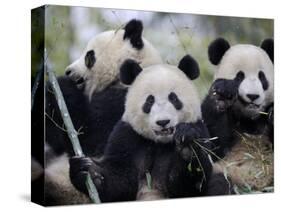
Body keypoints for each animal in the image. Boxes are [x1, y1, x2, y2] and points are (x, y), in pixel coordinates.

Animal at [69, 54, 231, 202]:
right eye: (149, 101)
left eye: (174, 98)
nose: (163, 122)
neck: (160, 143)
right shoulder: (127, 135)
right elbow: (119, 182)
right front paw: (87, 170)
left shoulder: (200, 129)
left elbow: (189, 186)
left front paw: (187, 148)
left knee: (219, 184)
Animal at [201, 37, 274, 192]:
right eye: (239, 77)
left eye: (262, 77)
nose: (252, 96)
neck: (249, 118)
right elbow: (211, 147)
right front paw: (222, 94)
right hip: (228, 174)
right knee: (219, 183)